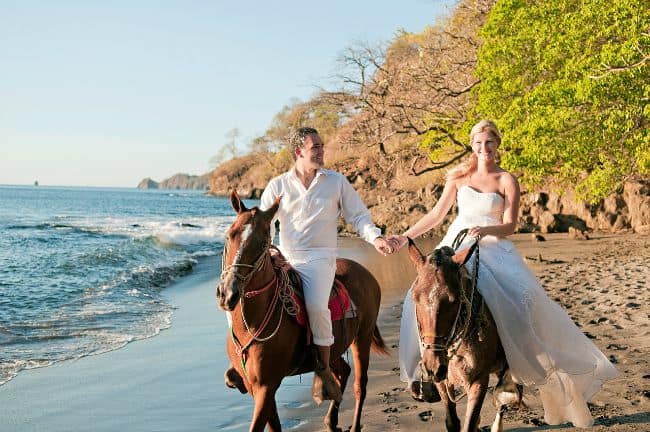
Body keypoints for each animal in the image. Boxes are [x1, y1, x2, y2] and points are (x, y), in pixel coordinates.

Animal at [215, 191, 388, 432]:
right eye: (229, 235)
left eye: (263, 243)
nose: (228, 293)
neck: (252, 324)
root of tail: (367, 274)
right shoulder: (256, 388)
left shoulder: (266, 386)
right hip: (335, 346)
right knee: (342, 371)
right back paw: (331, 420)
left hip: (362, 338)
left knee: (359, 385)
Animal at [404, 238, 520, 432]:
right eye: (415, 297)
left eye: (454, 300)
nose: (432, 367)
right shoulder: (442, 381)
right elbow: (453, 422)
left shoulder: (479, 380)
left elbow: (469, 423)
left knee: (503, 397)